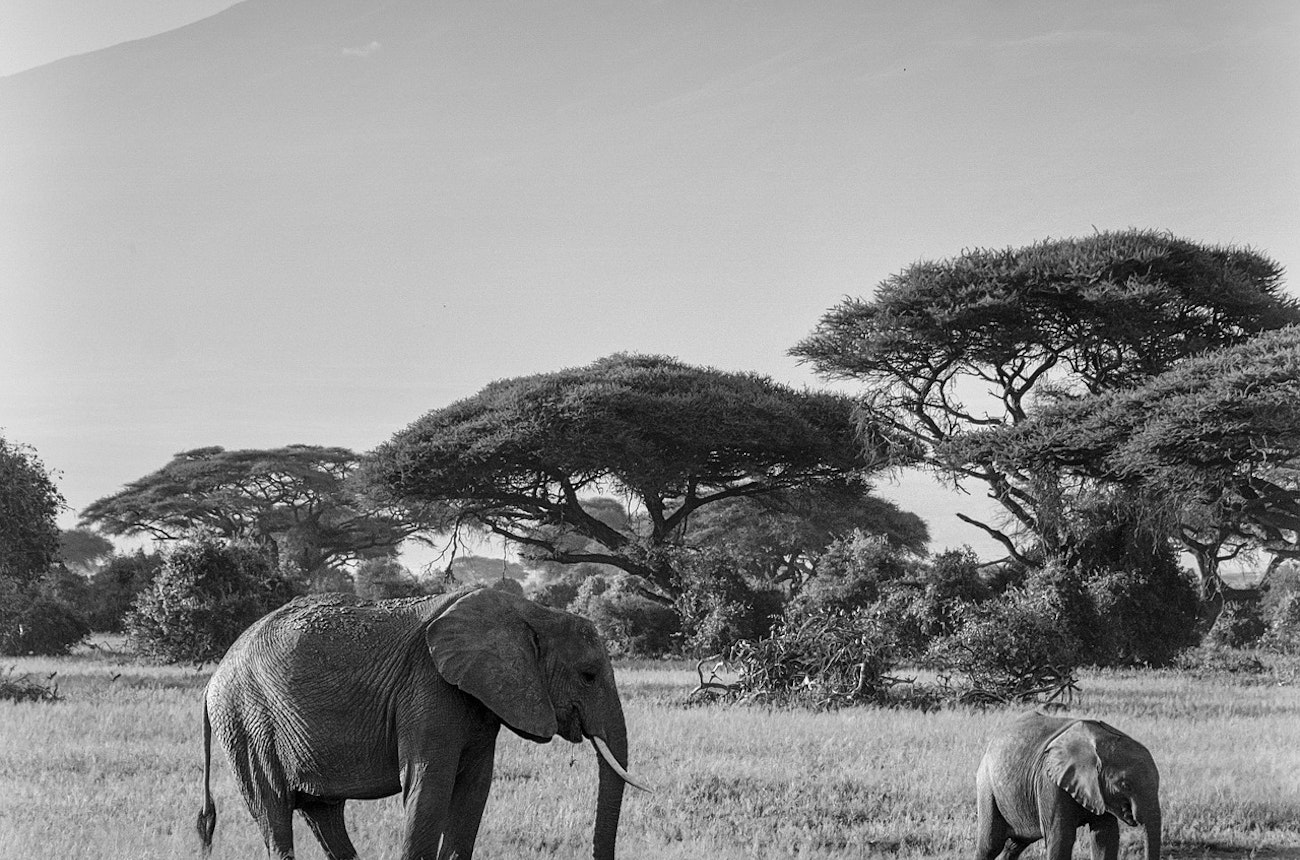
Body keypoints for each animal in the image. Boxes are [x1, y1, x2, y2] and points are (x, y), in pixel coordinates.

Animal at [196, 584, 646, 860]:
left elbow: (474, 788)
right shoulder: (428, 689)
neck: (530, 612)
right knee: (273, 810)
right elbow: (429, 783)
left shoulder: (479, 698)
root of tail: (212, 680)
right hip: (247, 722)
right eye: (589, 675)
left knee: (323, 815)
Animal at [975, 711, 1161, 860]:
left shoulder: (1098, 792)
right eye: (1125, 785)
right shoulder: (1050, 782)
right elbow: (1061, 839)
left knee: (1014, 845)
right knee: (990, 845)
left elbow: (1106, 837)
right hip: (986, 786)